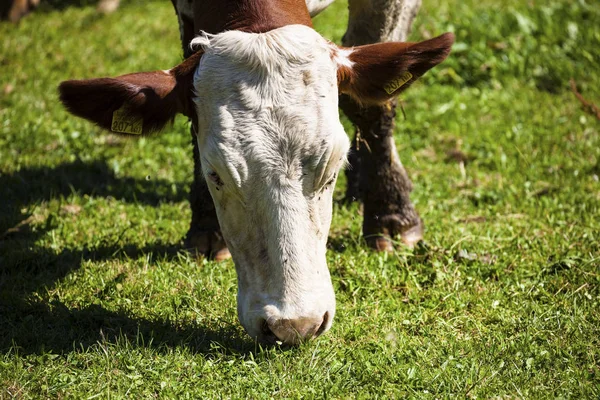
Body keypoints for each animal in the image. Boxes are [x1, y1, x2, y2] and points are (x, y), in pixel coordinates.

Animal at [59, 0, 454, 344]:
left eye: (331, 169)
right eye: (215, 175)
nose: (295, 325)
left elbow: (371, 107)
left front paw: (392, 213)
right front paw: (206, 228)